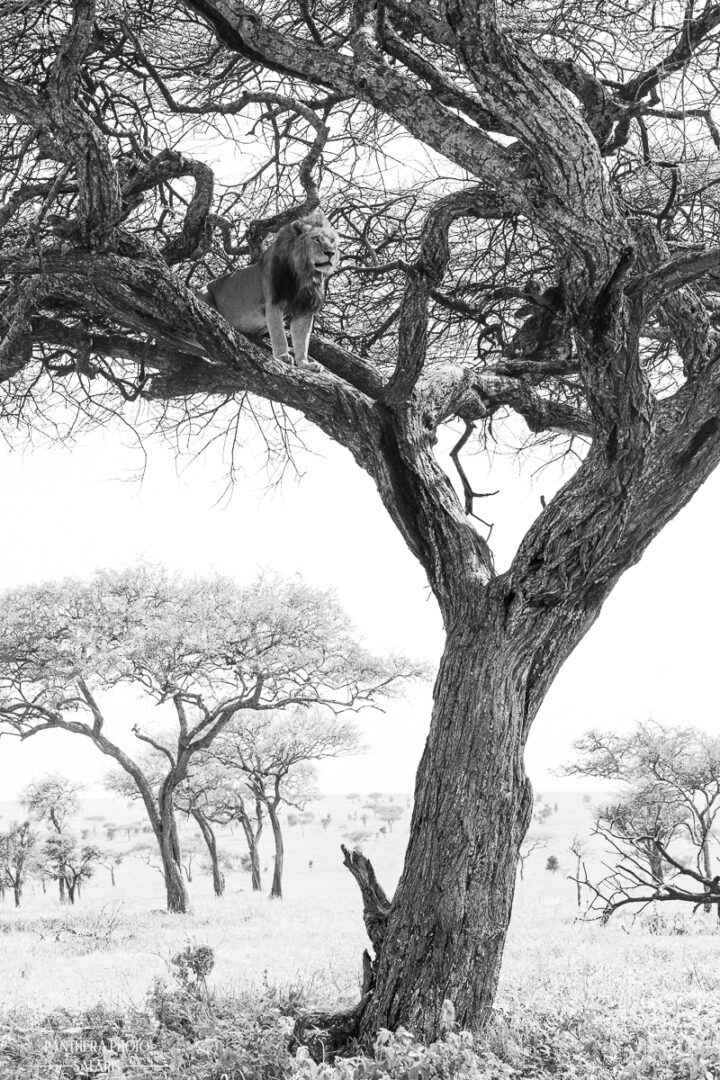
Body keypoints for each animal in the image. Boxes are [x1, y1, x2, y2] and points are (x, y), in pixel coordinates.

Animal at [199, 210, 340, 369]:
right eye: (316, 239)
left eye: (332, 241)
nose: (330, 253)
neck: (305, 275)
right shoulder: (273, 302)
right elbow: (279, 334)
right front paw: (283, 356)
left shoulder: (304, 309)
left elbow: (302, 341)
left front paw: (305, 363)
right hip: (205, 293)